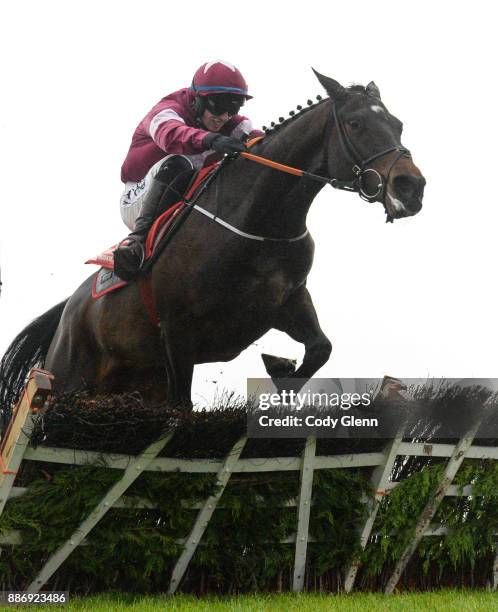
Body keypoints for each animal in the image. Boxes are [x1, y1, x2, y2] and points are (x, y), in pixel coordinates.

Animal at [0, 70, 426, 426]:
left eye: (398, 125)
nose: (411, 187)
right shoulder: (177, 331)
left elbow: (321, 348)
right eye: (356, 123)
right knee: (171, 162)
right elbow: (182, 407)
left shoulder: (286, 302)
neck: (260, 221)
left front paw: (281, 371)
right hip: (71, 374)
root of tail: (69, 310)